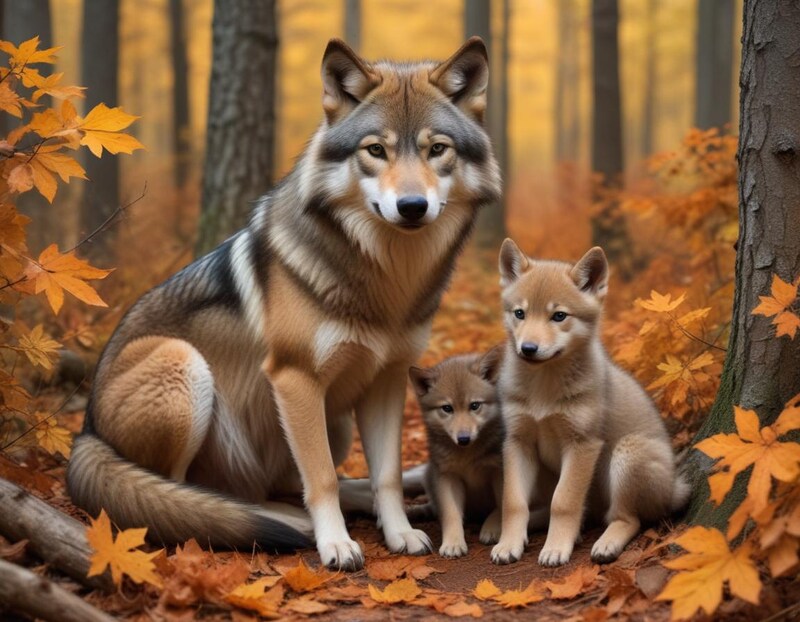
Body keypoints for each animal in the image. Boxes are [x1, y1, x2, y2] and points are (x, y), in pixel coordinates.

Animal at [407, 349, 504, 558]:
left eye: (475, 405)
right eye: (447, 408)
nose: (463, 438)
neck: (467, 455)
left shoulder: (498, 472)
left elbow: (502, 505)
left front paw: (493, 527)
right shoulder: (447, 476)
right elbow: (450, 513)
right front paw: (453, 543)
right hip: (429, 475)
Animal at [489, 239, 689, 567]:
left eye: (559, 316)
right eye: (519, 313)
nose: (528, 348)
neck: (543, 389)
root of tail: (674, 489)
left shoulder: (582, 443)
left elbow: (564, 501)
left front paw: (556, 547)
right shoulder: (518, 442)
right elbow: (513, 501)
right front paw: (508, 543)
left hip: (627, 454)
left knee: (626, 518)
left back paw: (605, 543)